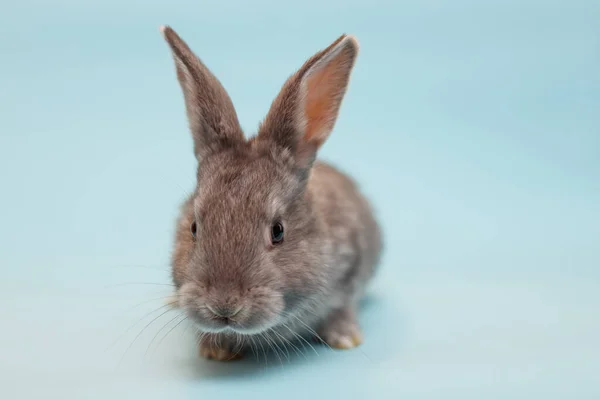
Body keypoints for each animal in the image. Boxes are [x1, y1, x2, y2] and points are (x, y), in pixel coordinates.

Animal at [159, 26, 382, 360]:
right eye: (194, 228)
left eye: (278, 231)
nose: (224, 307)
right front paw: (215, 350)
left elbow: (342, 307)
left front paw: (346, 338)